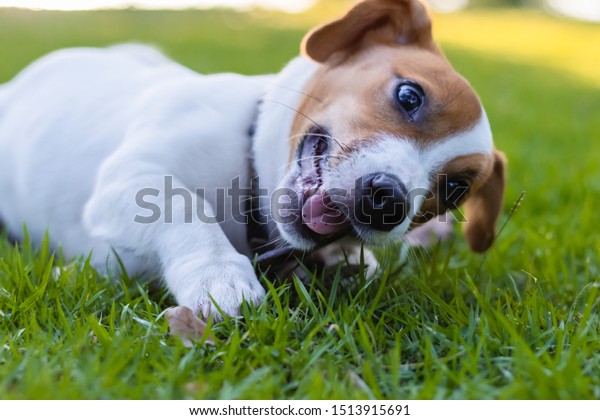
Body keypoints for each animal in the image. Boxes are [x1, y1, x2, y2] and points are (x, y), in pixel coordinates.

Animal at [0, 0, 506, 318]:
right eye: (409, 95)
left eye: (456, 188)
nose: (387, 202)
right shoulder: (129, 178)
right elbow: (182, 209)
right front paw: (217, 275)